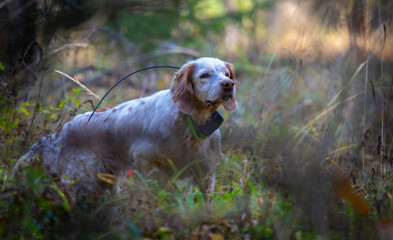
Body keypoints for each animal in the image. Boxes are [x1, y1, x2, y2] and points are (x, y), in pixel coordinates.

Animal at [13, 57, 237, 198]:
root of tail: (59, 133)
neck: (192, 123)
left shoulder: (206, 172)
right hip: (81, 178)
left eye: (226, 74)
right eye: (204, 75)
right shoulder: (146, 160)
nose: (229, 84)